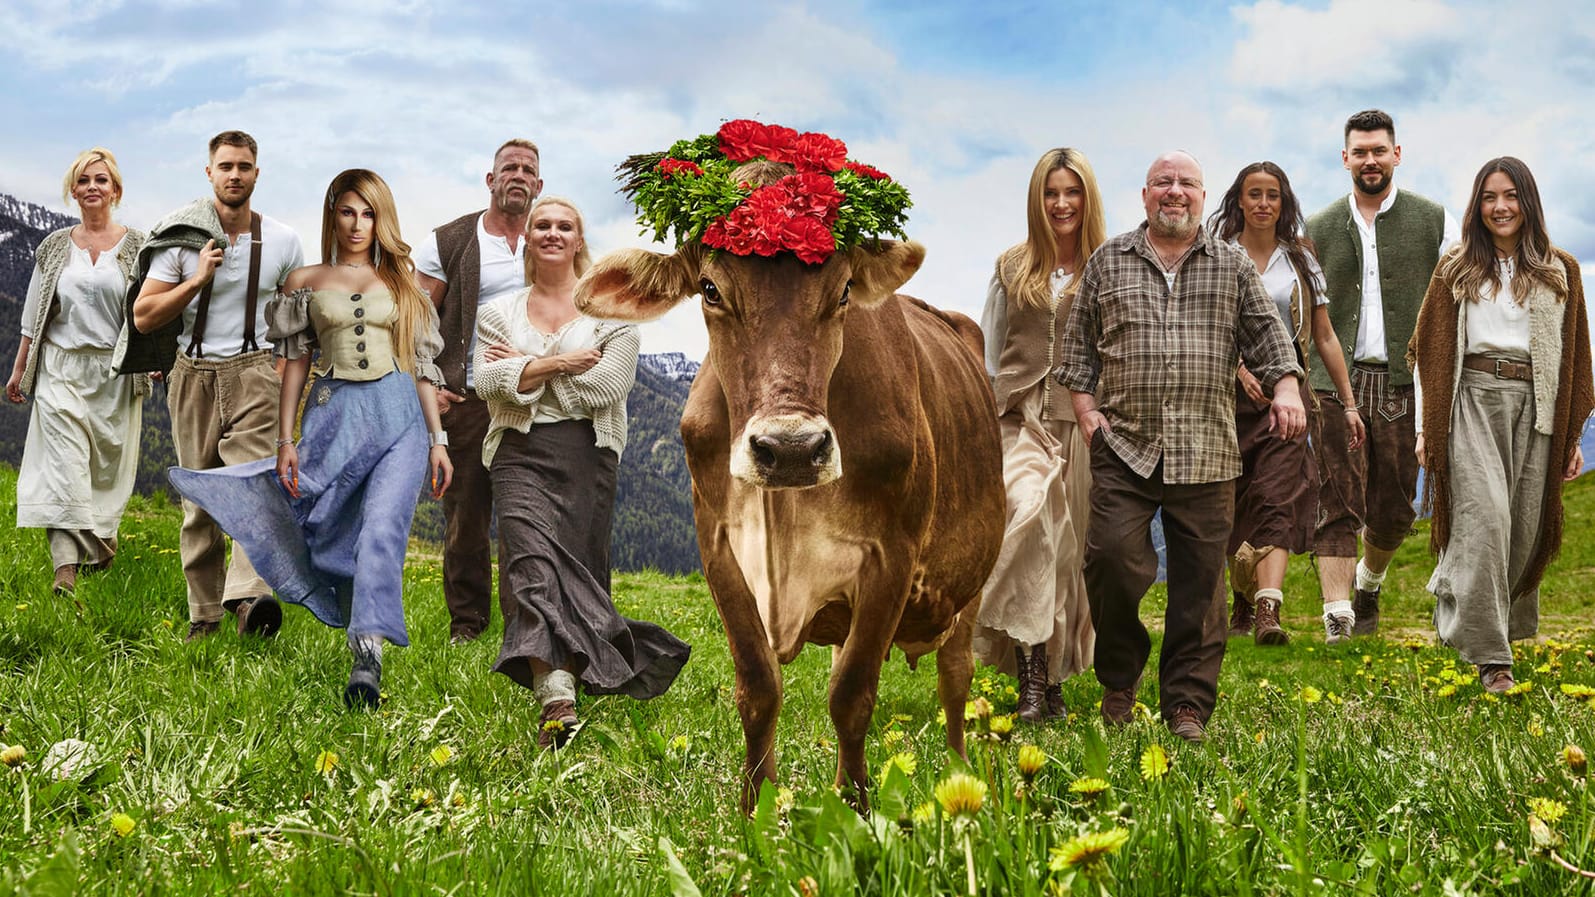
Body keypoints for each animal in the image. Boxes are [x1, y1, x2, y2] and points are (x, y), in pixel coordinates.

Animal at [577, 207, 995, 810]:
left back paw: (961, 776)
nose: (792, 449)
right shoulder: (719, 548)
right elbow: (758, 689)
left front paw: (855, 813)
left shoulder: (891, 556)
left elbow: (852, 695)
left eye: (844, 290)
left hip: (974, 579)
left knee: (955, 677)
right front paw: (756, 814)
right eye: (710, 289)